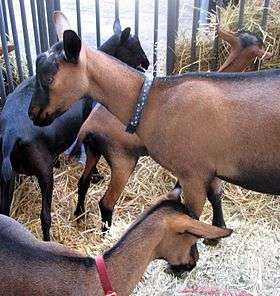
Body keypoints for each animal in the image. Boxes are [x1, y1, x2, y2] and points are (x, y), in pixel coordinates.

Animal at [28, 12, 278, 236]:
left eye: (48, 78)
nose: (32, 114)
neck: (153, 98)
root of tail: (88, 129)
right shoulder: (193, 172)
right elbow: (192, 214)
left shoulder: (212, 165)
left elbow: (216, 195)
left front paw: (219, 228)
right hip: (122, 159)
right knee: (106, 202)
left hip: (95, 152)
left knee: (83, 183)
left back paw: (80, 215)